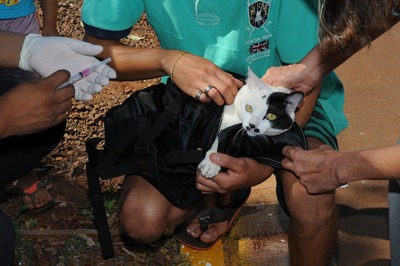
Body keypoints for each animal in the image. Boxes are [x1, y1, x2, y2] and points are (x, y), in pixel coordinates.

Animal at [90, 79, 308, 208]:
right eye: (249, 107)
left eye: (271, 115)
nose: (252, 126)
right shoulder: (228, 115)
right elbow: (219, 136)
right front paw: (211, 163)